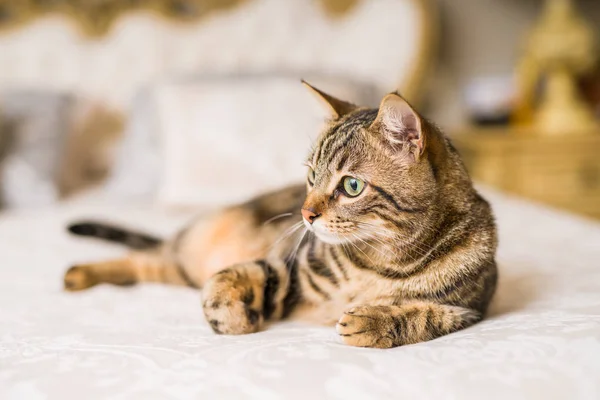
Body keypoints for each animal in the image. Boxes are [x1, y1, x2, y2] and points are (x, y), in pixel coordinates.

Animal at [63, 83, 500, 348]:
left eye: (351, 186)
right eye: (310, 177)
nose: (305, 214)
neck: (377, 262)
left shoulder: (470, 307)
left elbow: (422, 314)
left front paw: (373, 321)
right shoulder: (288, 267)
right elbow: (227, 281)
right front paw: (232, 317)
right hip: (190, 250)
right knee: (142, 256)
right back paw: (79, 273)